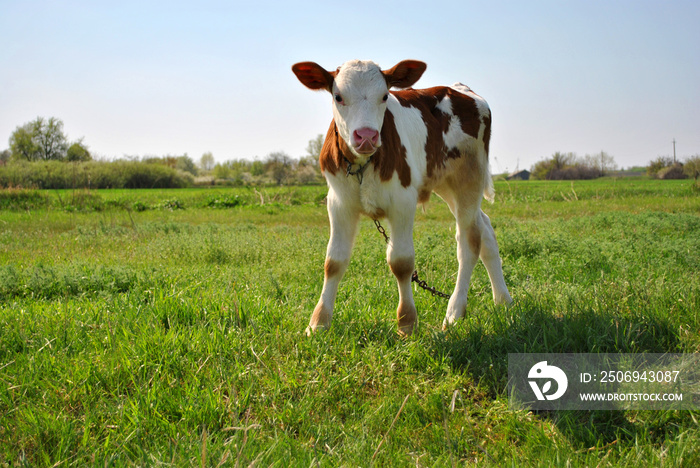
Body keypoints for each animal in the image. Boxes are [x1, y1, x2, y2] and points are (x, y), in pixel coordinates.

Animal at [292, 59, 512, 336]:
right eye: (338, 96)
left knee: (470, 239)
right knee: (486, 229)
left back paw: (454, 312)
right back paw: (503, 300)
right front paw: (318, 323)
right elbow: (334, 261)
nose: (366, 136)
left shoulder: (403, 202)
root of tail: (460, 88)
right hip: (446, 184)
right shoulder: (339, 203)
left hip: (469, 178)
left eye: (385, 96)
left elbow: (401, 262)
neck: (364, 165)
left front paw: (407, 322)